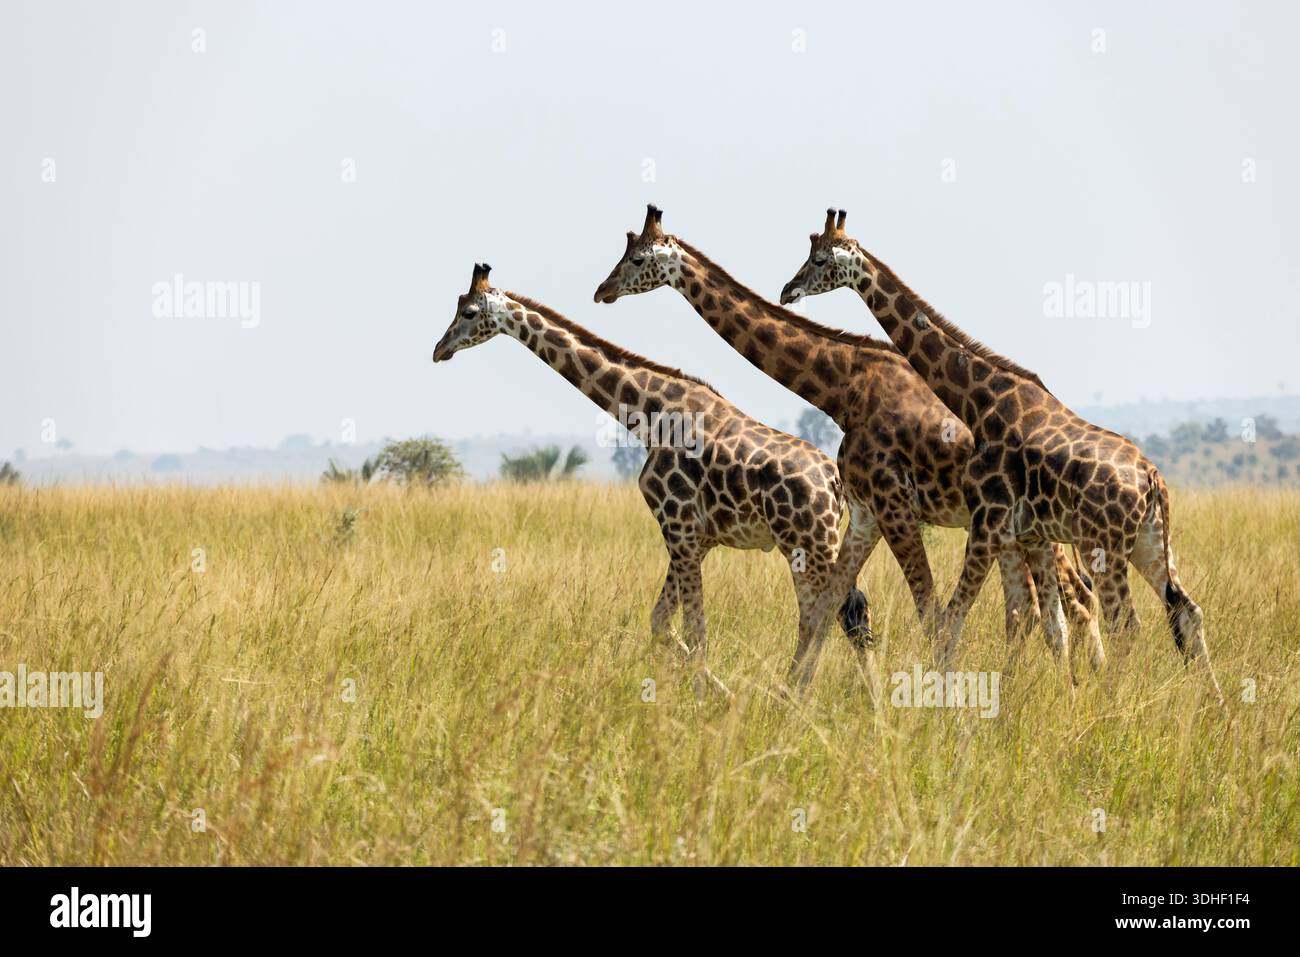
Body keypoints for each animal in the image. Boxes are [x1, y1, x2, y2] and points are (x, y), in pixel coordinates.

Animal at [433, 263, 870, 690]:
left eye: (468, 312)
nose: (440, 349)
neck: (649, 416)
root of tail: (833, 481)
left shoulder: (679, 528)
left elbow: (695, 631)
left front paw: (710, 696)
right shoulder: (697, 539)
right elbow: (662, 623)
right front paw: (719, 691)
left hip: (806, 542)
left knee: (826, 614)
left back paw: (797, 693)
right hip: (815, 541)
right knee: (846, 611)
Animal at [593, 205, 1101, 670]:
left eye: (637, 259)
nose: (602, 290)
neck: (845, 386)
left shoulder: (896, 506)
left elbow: (928, 614)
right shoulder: (868, 511)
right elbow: (834, 610)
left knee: (1073, 600)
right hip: (1024, 532)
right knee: (1044, 608)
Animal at [779, 210, 1221, 699]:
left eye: (820, 259)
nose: (787, 291)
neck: (980, 401)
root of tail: (1152, 478)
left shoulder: (988, 520)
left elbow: (954, 620)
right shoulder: (1022, 533)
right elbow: (1032, 620)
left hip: (1103, 546)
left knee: (1127, 623)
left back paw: (1113, 705)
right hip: (1148, 541)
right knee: (1186, 610)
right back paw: (1214, 706)